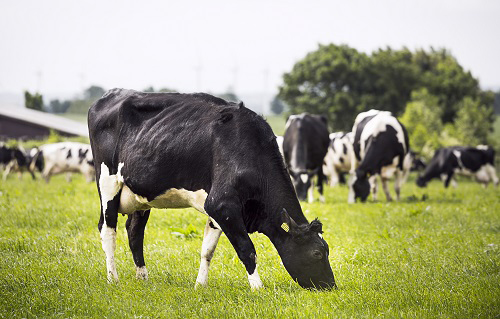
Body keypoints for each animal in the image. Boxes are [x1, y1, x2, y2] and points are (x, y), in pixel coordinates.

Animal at [88, 89, 338, 292]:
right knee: (107, 229)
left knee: (134, 232)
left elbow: (207, 249)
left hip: (140, 195)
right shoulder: (222, 204)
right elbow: (247, 249)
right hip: (107, 183)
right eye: (317, 252)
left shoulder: (218, 210)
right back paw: (113, 279)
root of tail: (109, 95)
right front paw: (258, 288)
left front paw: (200, 285)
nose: (331, 286)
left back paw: (143, 278)